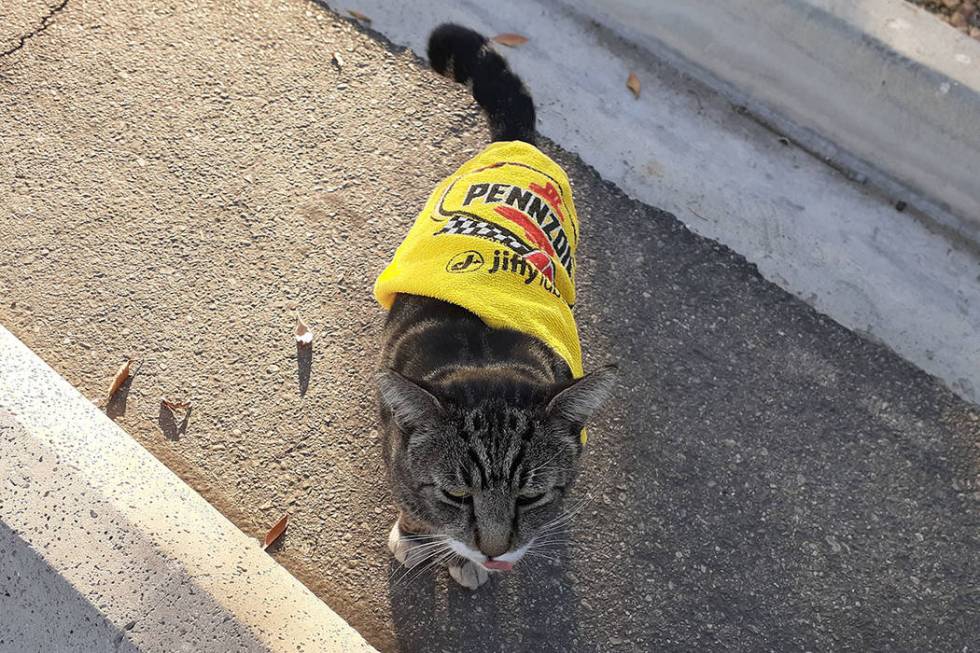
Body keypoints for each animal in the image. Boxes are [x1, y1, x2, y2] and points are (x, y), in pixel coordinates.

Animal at [372, 22, 616, 588]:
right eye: (457, 494)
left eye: (531, 497)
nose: (495, 553)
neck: (482, 354)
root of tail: (517, 144)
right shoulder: (398, 450)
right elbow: (412, 499)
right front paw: (418, 537)